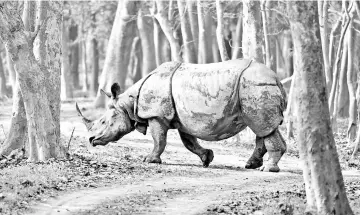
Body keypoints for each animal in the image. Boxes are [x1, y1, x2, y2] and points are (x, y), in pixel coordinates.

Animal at [76, 59, 286, 173]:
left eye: (103, 121)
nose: (91, 140)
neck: (129, 102)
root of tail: (276, 78)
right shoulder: (185, 119)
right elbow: (189, 142)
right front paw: (207, 158)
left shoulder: (156, 115)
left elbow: (159, 139)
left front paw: (149, 160)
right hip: (254, 87)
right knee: (264, 127)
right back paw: (251, 165)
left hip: (254, 86)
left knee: (262, 126)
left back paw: (267, 169)